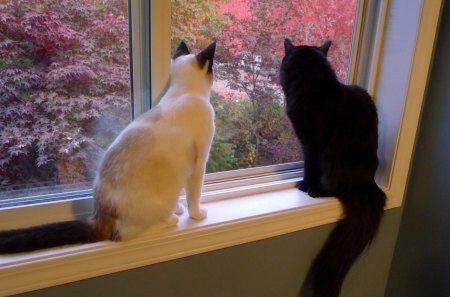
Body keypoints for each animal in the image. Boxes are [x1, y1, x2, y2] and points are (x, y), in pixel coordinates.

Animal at [0, 41, 218, 252]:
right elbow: (194, 196)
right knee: (127, 233)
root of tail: (100, 214)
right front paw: (197, 215)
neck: (183, 92)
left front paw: (182, 208)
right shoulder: (200, 163)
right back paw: (170, 218)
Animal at [280, 38, 384, 294]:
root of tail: (368, 184)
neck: (313, 86)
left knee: (333, 188)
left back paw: (315, 191)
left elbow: (309, 167)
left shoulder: (309, 143)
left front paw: (304, 185)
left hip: (332, 165)